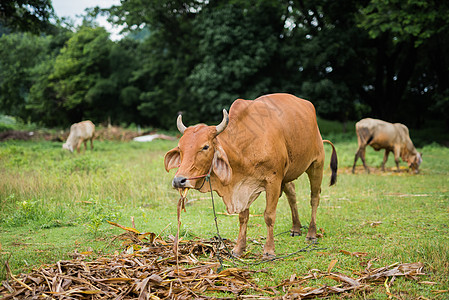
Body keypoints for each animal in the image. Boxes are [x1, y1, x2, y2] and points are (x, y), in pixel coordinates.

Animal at [164, 94, 336, 258]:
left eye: (205, 147)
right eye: (180, 148)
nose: (179, 180)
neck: (244, 148)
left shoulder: (273, 181)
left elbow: (269, 216)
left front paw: (269, 251)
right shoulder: (243, 185)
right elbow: (243, 217)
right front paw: (239, 248)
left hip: (316, 164)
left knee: (314, 198)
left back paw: (311, 234)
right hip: (288, 175)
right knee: (292, 195)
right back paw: (296, 228)